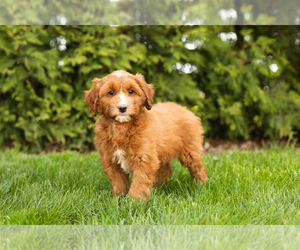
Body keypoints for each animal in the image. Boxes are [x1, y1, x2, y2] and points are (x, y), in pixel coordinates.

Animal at [84, 70, 206, 199]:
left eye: (131, 91)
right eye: (111, 92)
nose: (122, 108)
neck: (122, 127)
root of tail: (186, 109)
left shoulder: (144, 158)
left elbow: (139, 183)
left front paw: (134, 201)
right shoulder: (111, 160)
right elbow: (119, 183)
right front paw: (118, 199)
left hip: (190, 151)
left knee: (198, 167)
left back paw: (201, 186)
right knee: (166, 168)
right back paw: (158, 187)